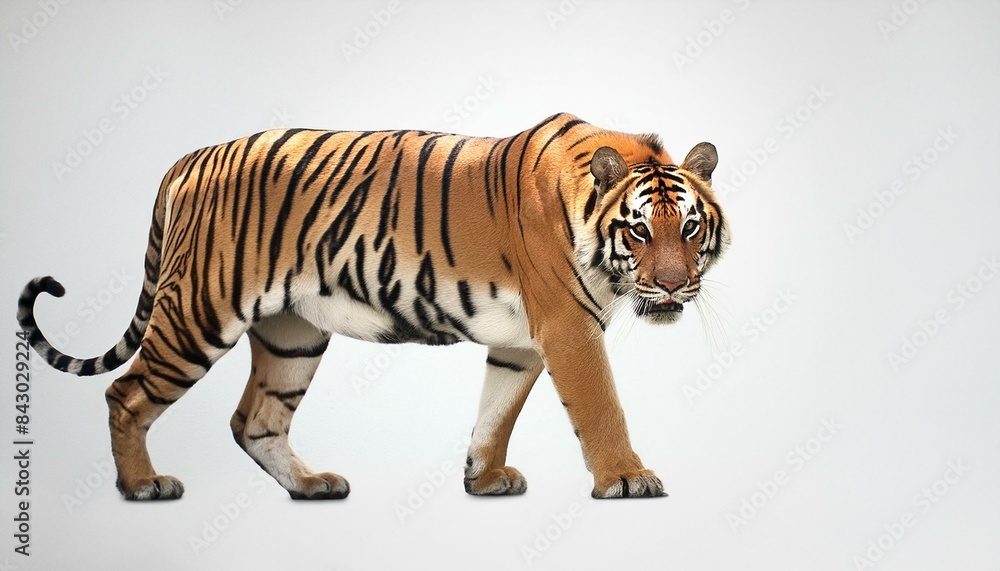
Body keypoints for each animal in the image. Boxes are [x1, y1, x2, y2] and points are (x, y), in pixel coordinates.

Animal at [17, 112, 729, 501]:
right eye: (640, 231)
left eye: (691, 229)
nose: (673, 288)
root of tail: (188, 158)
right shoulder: (569, 330)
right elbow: (602, 408)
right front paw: (628, 478)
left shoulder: (521, 342)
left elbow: (495, 413)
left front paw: (483, 477)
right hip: (197, 313)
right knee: (126, 394)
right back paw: (142, 485)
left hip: (292, 336)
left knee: (254, 421)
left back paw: (310, 486)